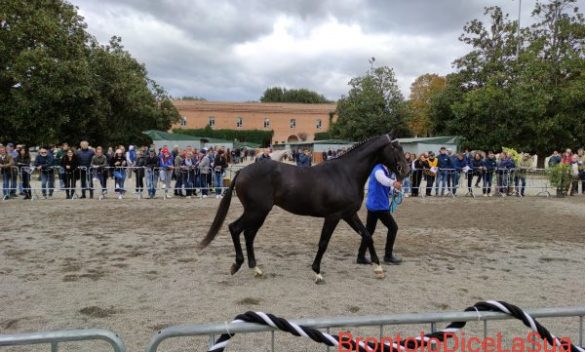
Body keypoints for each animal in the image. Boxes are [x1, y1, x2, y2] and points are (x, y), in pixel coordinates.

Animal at [198, 133, 408, 282]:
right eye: (396, 149)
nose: (406, 171)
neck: (345, 174)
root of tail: (241, 171)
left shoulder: (349, 214)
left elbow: (367, 235)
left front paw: (378, 268)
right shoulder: (333, 216)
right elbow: (323, 243)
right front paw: (317, 272)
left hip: (259, 213)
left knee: (248, 235)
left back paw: (256, 268)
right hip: (256, 211)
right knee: (235, 228)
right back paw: (237, 265)